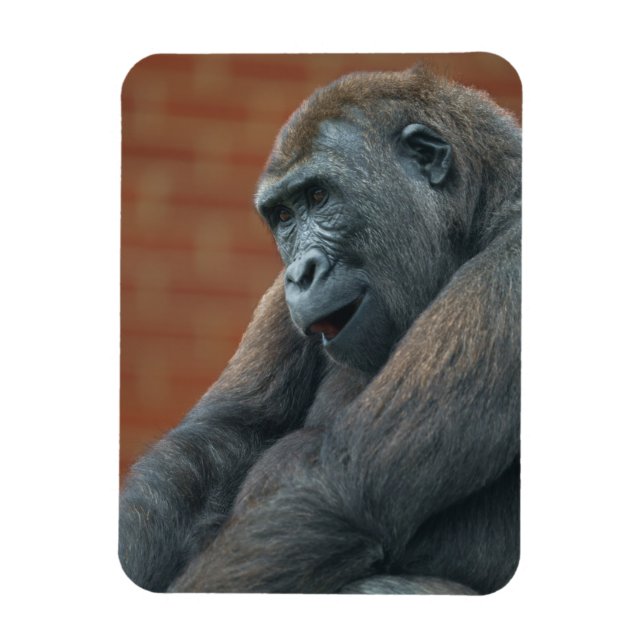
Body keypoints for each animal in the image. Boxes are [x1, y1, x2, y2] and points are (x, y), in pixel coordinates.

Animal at [119, 65, 521, 594]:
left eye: (318, 196)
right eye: (284, 217)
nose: (300, 274)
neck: (479, 210)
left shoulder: (512, 268)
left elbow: (340, 490)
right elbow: (220, 440)